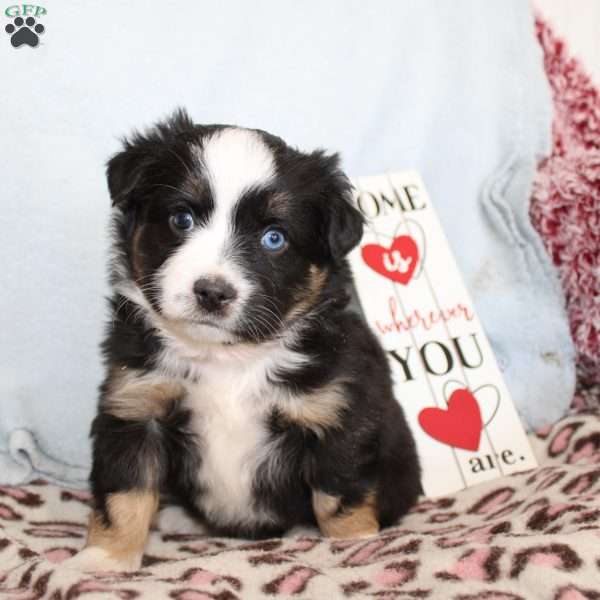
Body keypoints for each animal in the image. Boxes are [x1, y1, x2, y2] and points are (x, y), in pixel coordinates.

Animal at [71, 109, 422, 572]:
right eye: (181, 219)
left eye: (274, 238)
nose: (212, 292)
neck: (228, 358)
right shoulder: (136, 405)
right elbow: (124, 493)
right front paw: (105, 560)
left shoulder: (338, 413)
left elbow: (339, 497)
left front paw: (354, 545)